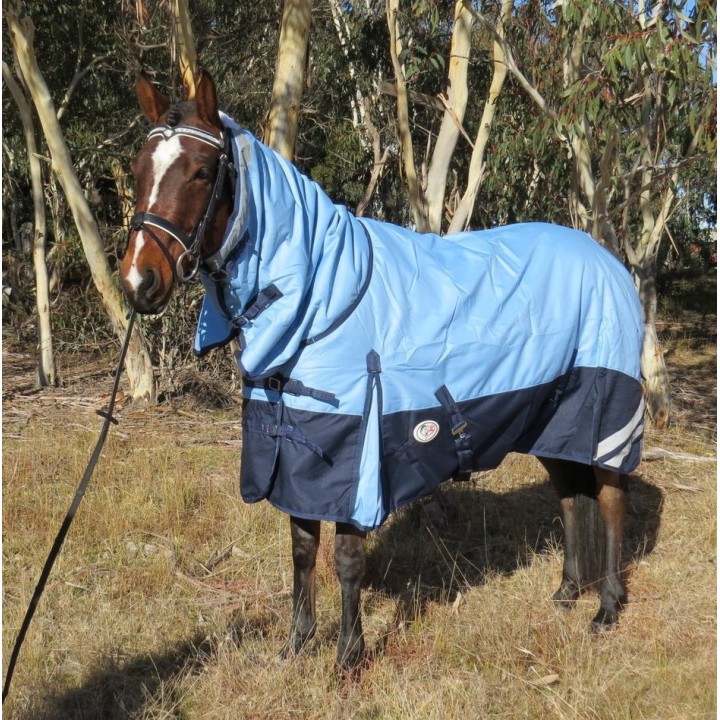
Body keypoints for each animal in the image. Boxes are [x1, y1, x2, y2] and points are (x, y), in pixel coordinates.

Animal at [119, 71, 645, 670]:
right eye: (137, 168)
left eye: (202, 172)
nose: (138, 283)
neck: (324, 293)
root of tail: (607, 260)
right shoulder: (296, 455)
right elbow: (303, 551)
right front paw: (296, 645)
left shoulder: (357, 454)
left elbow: (347, 559)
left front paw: (348, 657)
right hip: (550, 418)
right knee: (570, 497)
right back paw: (565, 593)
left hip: (603, 415)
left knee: (610, 499)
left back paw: (605, 608)